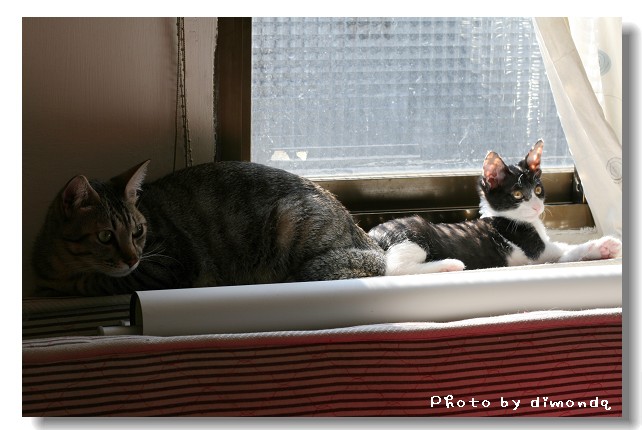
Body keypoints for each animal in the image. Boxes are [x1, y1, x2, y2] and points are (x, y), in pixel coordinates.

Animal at [32, 161, 386, 296]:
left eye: (138, 232)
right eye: (106, 236)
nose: (132, 257)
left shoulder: (166, 265)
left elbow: (101, 282)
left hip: (293, 224)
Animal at [367, 140, 622, 275]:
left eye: (538, 190)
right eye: (518, 194)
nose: (537, 207)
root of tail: (373, 236)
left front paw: (603, 250)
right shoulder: (537, 252)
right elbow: (567, 251)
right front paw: (603, 245)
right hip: (413, 234)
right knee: (394, 268)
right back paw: (450, 265)